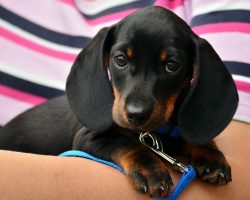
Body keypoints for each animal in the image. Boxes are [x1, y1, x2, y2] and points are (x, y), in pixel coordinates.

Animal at [0, 6, 238, 198]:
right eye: (121, 60)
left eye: (172, 65)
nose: (136, 114)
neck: (153, 134)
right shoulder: (87, 138)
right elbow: (125, 143)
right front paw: (150, 168)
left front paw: (210, 154)